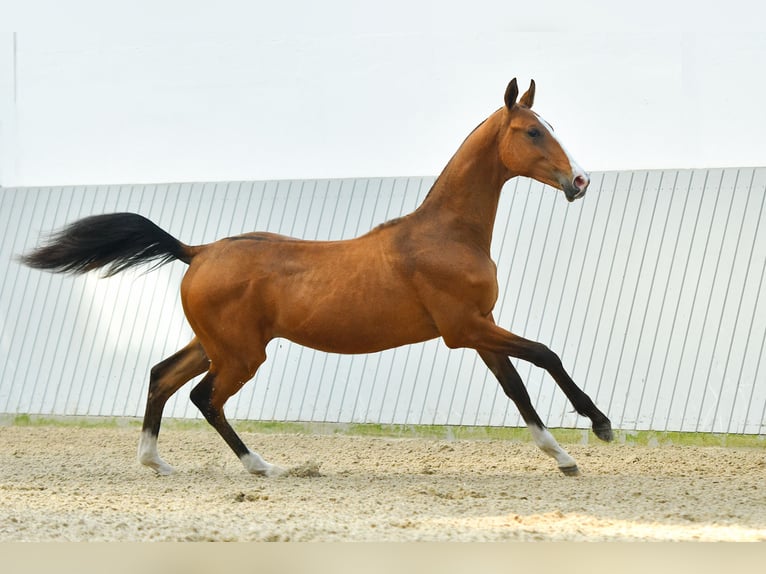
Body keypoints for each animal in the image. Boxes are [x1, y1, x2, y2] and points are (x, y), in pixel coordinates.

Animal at [21, 80, 616, 476]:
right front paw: (601, 424)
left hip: (215, 343)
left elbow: (516, 387)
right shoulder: (465, 328)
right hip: (241, 354)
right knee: (203, 397)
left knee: (161, 377)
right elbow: (545, 355)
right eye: (532, 131)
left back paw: (156, 462)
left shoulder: (480, 328)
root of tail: (197, 251)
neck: (446, 235)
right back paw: (261, 466)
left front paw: (562, 457)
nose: (581, 181)